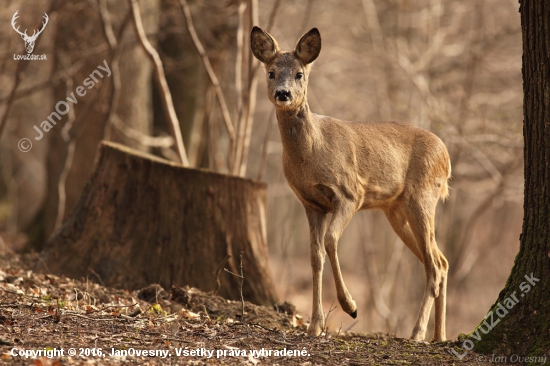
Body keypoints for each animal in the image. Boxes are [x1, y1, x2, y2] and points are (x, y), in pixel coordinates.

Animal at [251, 26, 452, 340]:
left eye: (299, 73)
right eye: (271, 72)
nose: (283, 93)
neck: (312, 153)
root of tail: (446, 156)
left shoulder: (350, 194)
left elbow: (331, 240)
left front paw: (350, 306)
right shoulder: (310, 203)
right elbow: (315, 256)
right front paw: (315, 326)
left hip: (422, 197)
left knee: (433, 265)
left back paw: (418, 333)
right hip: (396, 210)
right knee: (441, 261)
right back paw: (438, 336)